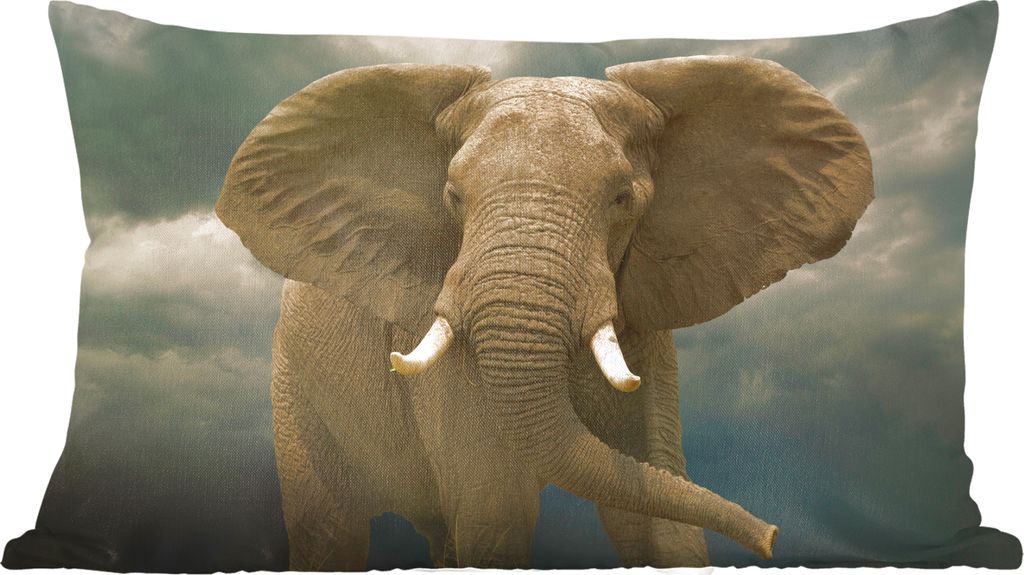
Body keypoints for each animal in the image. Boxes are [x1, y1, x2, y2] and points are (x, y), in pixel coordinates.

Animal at [216, 56, 873, 570]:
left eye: (622, 199)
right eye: (453, 197)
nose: (772, 537)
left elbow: (654, 502)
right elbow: (497, 506)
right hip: (294, 386)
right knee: (331, 531)